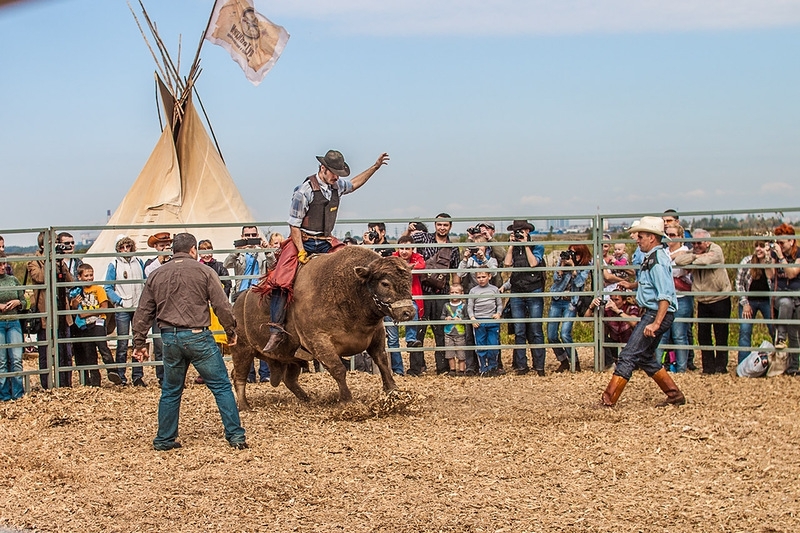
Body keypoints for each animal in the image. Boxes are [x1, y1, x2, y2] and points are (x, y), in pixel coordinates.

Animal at [230, 246, 416, 412]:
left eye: (409, 281)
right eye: (385, 283)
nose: (408, 312)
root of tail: (238, 301)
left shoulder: (376, 334)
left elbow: (382, 361)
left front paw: (394, 392)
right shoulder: (318, 341)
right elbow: (338, 369)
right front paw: (347, 401)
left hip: (290, 357)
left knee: (289, 379)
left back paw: (307, 399)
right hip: (242, 349)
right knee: (238, 377)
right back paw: (245, 405)